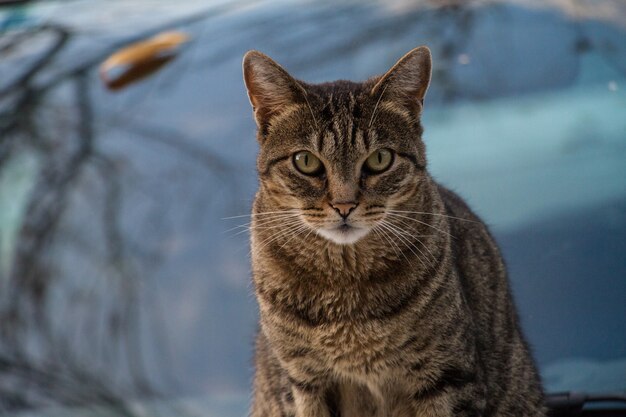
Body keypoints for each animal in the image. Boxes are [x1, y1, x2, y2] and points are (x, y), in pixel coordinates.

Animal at [241, 46, 544, 416]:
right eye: (306, 162)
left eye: (380, 159)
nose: (344, 205)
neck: (345, 289)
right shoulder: (306, 380)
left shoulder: (446, 375)